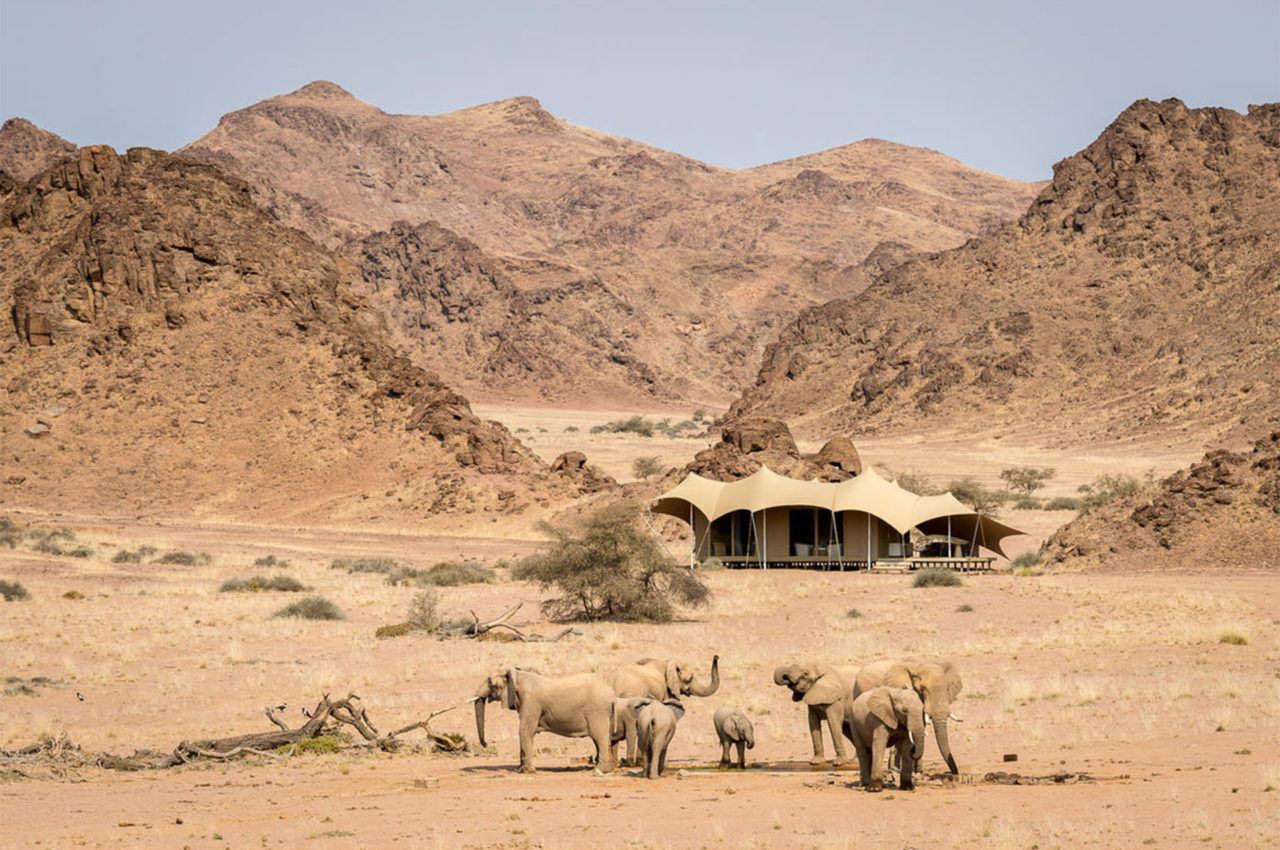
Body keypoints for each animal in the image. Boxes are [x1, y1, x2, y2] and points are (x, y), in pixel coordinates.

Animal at [473, 665, 616, 773]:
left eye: (490, 682)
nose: (486, 744)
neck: (518, 675)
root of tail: (611, 692)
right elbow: (526, 732)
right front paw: (520, 769)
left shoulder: (531, 702)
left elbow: (525, 730)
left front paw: (526, 771)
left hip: (597, 711)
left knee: (599, 737)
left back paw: (600, 770)